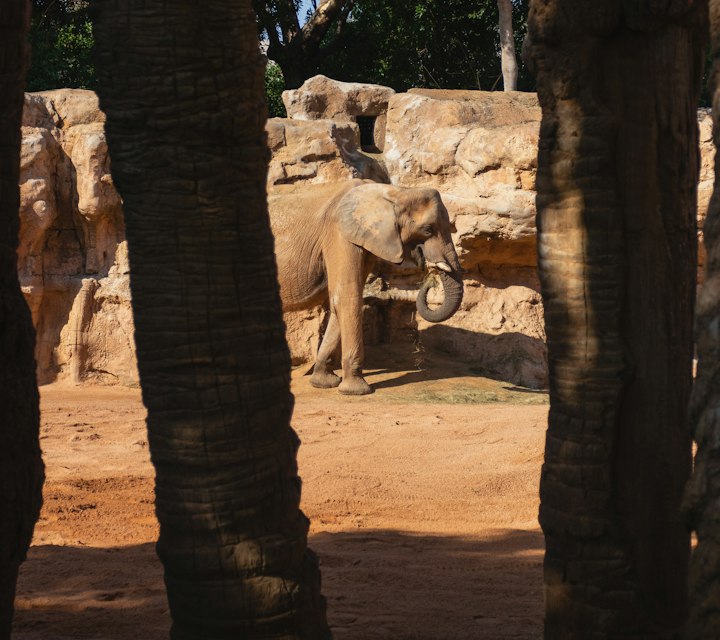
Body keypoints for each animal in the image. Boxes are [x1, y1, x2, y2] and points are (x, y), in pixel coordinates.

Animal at [268, 180, 462, 396]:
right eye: (428, 229)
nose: (430, 275)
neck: (395, 192)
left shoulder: (367, 241)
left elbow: (339, 300)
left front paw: (325, 383)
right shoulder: (339, 234)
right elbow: (347, 296)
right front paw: (357, 390)